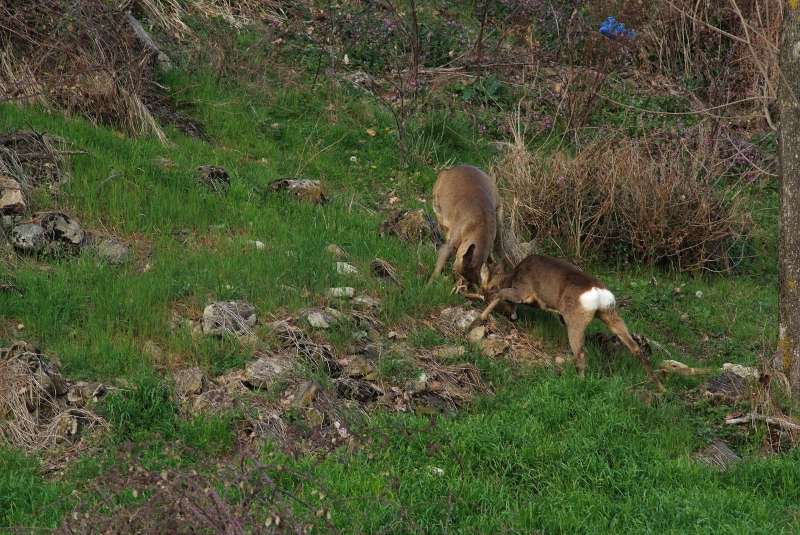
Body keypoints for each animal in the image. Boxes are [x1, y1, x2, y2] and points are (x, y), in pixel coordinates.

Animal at [472, 253, 664, 392]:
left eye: (486, 289)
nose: (482, 296)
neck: (513, 276)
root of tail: (598, 294)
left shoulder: (523, 291)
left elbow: (501, 294)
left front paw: (479, 319)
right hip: (610, 313)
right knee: (635, 348)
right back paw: (661, 388)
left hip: (576, 319)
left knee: (580, 353)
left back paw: (579, 382)